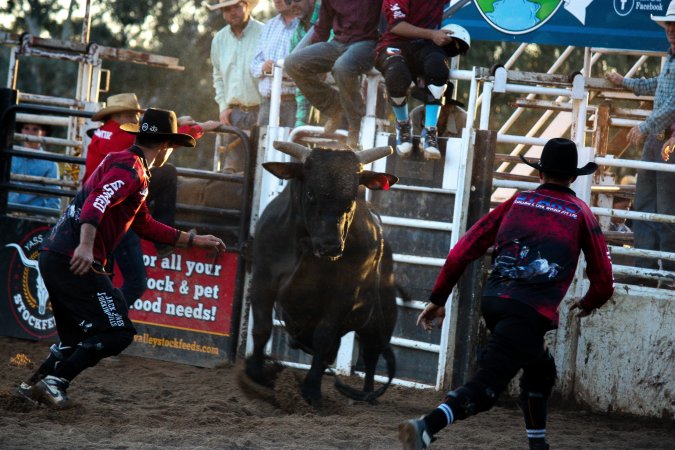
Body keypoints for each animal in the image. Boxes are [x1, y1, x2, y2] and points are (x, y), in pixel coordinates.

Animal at [245, 141, 399, 405]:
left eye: (351, 198)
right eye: (310, 193)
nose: (330, 245)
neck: (307, 245)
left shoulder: (343, 295)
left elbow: (324, 337)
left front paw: (311, 389)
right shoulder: (263, 280)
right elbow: (262, 327)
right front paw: (258, 373)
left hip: (380, 324)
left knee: (370, 357)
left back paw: (368, 394)